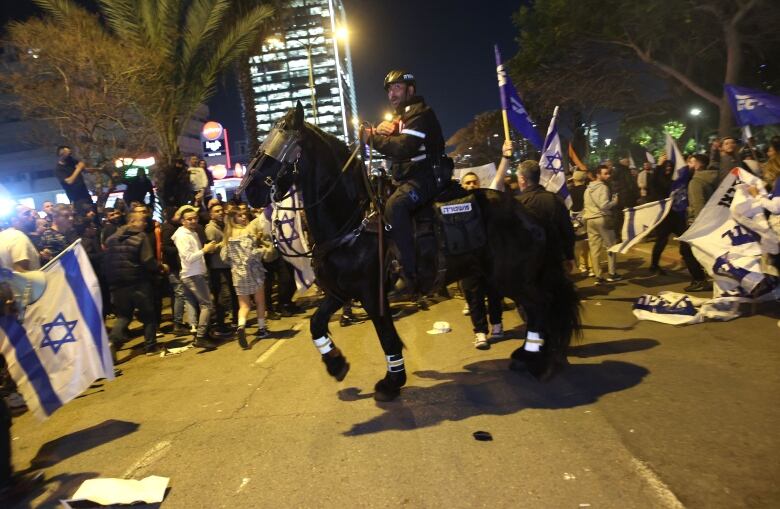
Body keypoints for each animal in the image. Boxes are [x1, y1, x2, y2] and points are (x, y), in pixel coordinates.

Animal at [238, 103, 580, 400]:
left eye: (279, 141)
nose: (244, 192)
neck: (351, 221)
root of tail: (528, 210)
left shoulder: (372, 295)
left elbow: (387, 337)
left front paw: (392, 382)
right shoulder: (340, 293)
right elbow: (316, 324)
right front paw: (336, 363)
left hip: (512, 277)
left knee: (540, 306)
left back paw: (535, 360)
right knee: (539, 308)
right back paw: (530, 354)